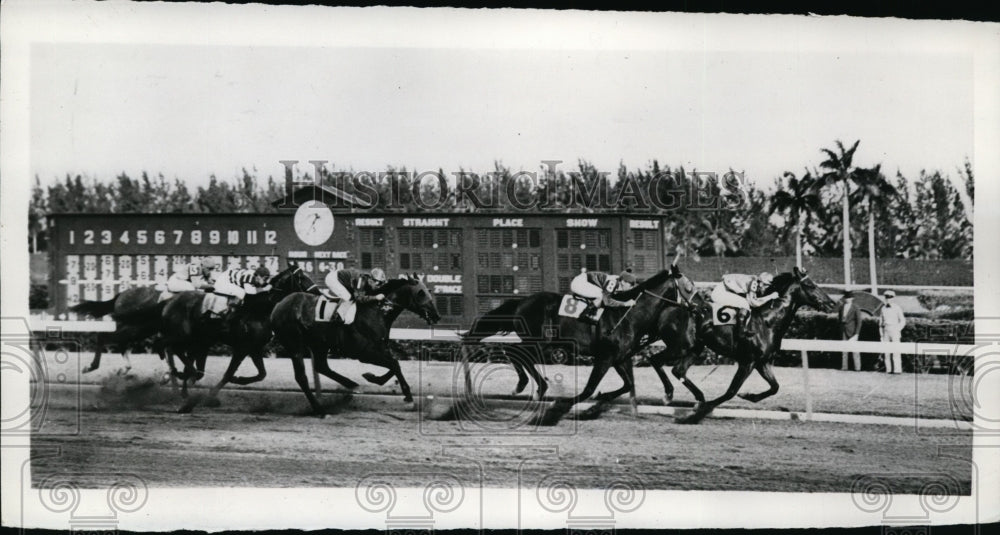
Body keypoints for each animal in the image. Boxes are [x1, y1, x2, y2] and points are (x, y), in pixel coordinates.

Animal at [270, 274, 442, 416]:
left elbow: (395, 365)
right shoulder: (364, 353)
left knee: (321, 366)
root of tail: (279, 304)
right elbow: (394, 364)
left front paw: (373, 378)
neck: (376, 312)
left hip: (319, 344)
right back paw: (320, 409)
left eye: (429, 291)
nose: (436, 316)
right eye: (421, 293)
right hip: (294, 344)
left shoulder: (380, 349)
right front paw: (408, 396)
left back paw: (352, 385)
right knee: (301, 377)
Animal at [648, 266, 836, 426]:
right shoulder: (747, 362)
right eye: (810, 285)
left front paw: (749, 396)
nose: (832, 304)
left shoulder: (762, 362)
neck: (767, 322)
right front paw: (697, 414)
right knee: (655, 359)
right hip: (680, 346)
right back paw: (669, 395)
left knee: (678, 370)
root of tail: (668, 308)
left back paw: (697, 398)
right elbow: (731, 391)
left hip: (694, 348)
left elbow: (775, 387)